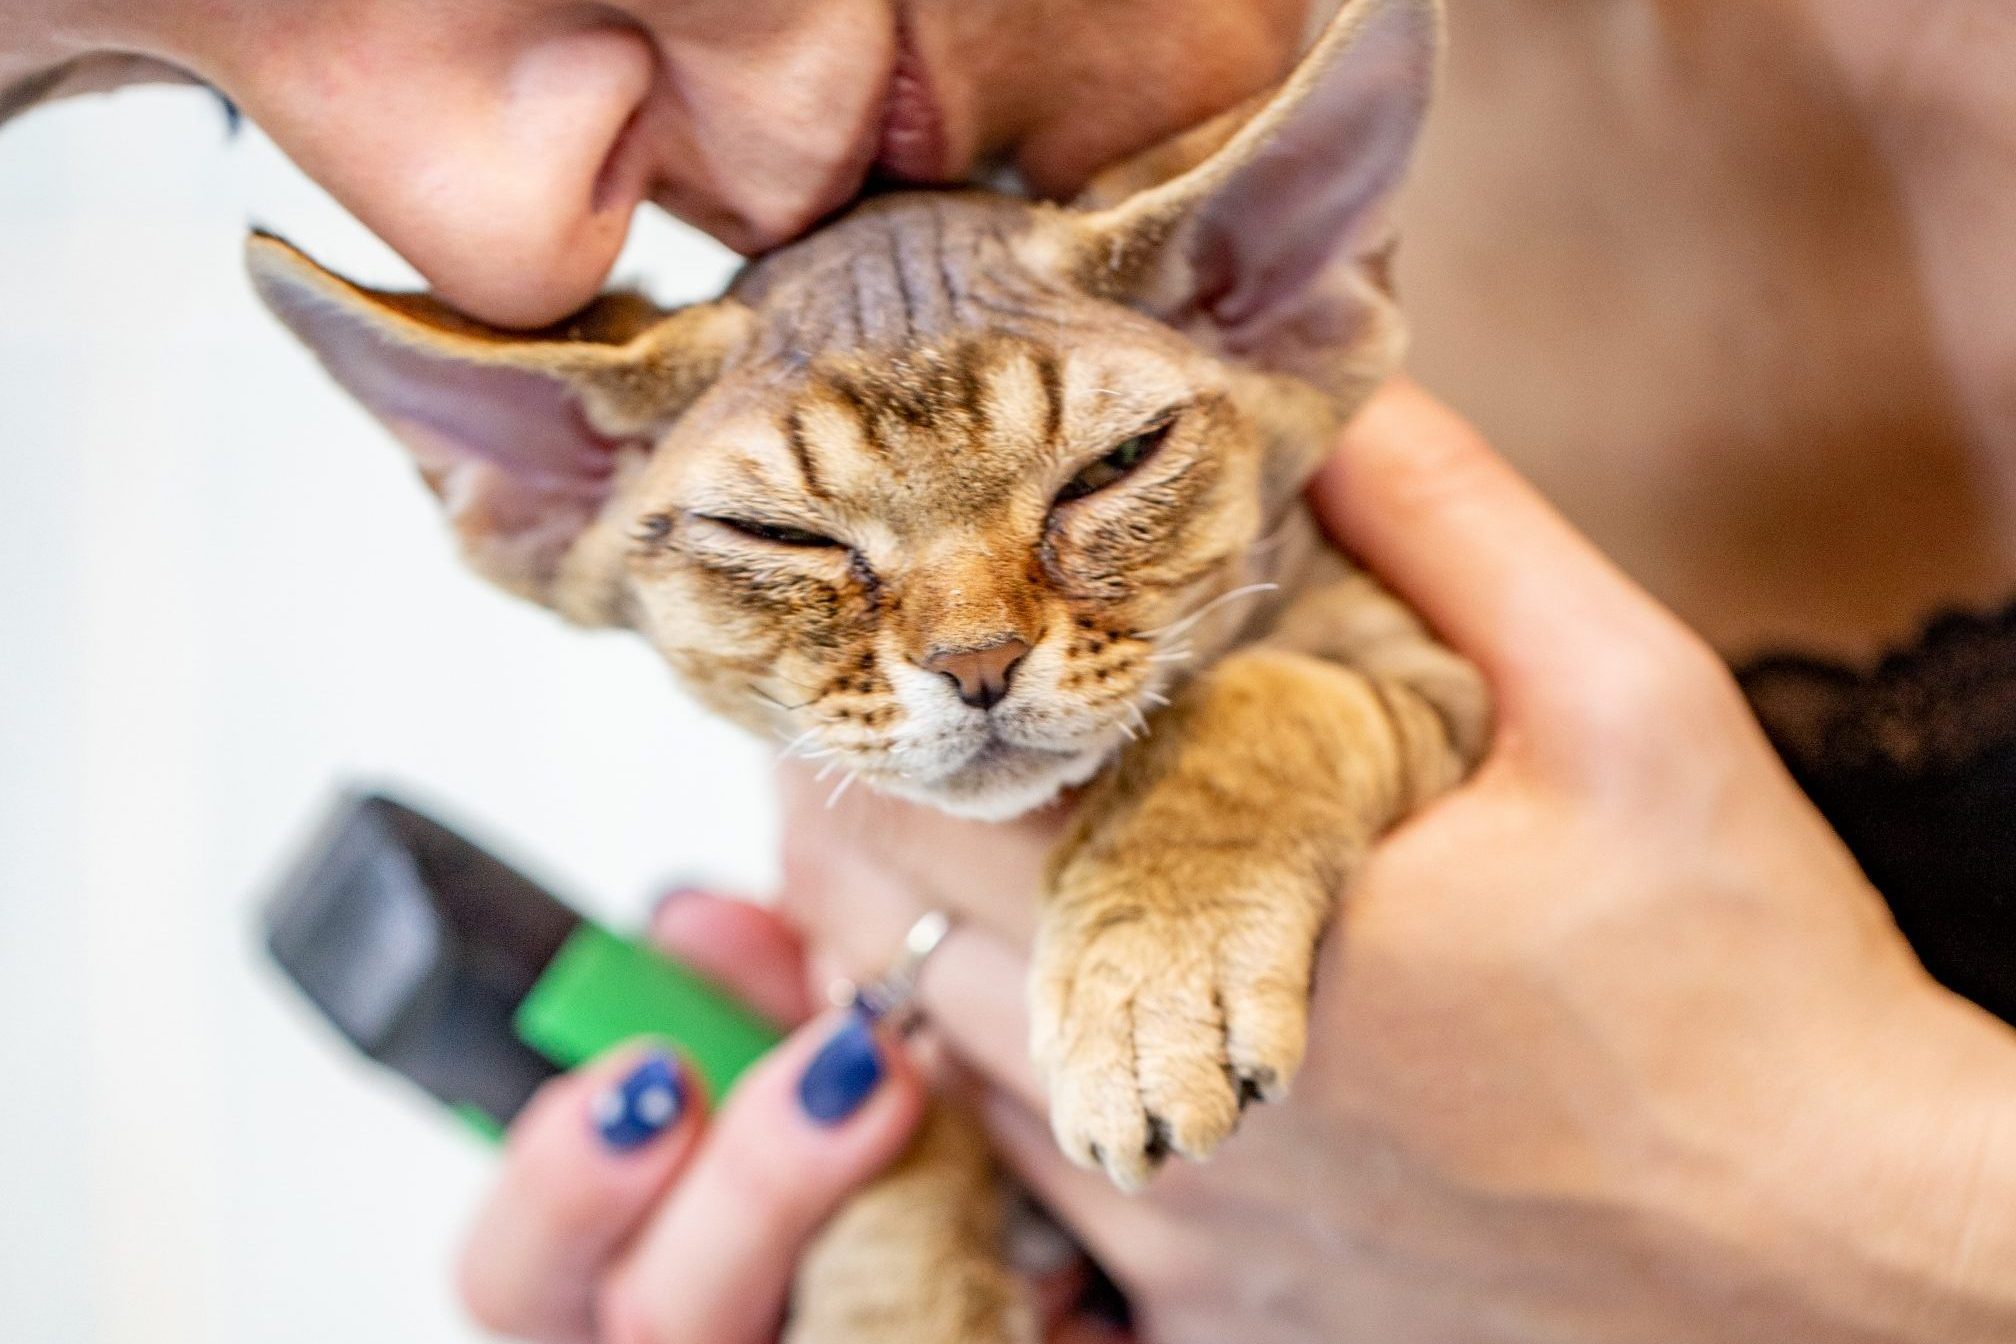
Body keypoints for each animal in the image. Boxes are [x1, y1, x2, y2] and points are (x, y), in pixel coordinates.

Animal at [247, 0, 1483, 1337]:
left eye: (1114, 467)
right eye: (779, 536)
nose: (979, 660)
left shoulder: (1437, 677)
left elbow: (1264, 693)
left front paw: (1154, 979)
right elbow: (903, 1135)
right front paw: (897, 1291)